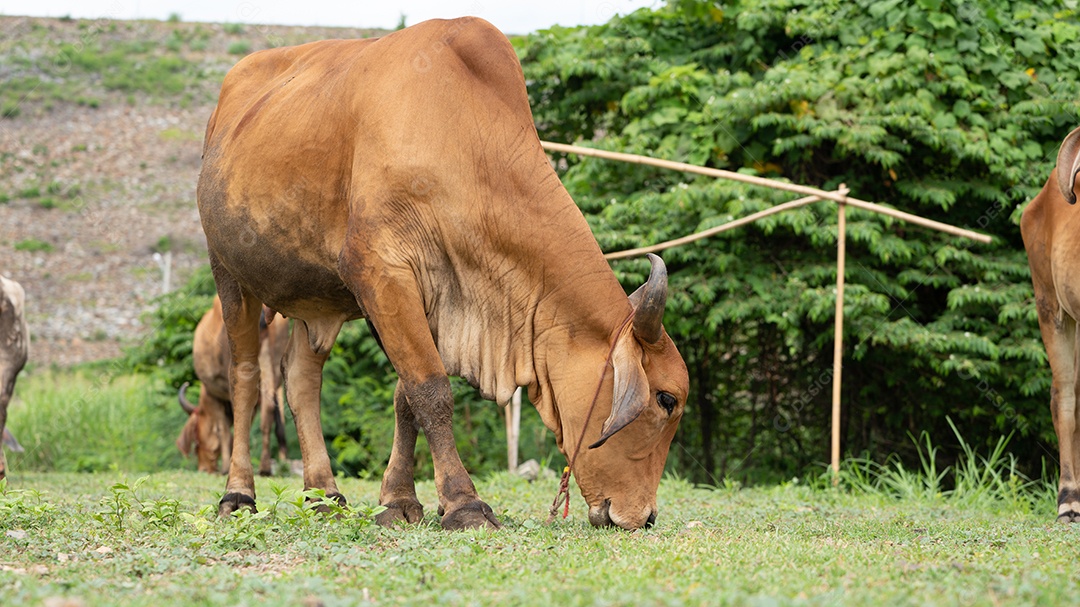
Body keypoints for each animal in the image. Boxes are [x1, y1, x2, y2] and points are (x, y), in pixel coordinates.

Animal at [176, 295, 290, 476]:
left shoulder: (212, 395)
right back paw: (265, 467)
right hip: (271, 365)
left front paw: (224, 467)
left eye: (196, 441)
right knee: (268, 413)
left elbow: (223, 429)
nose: (203, 468)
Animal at [196, 17, 689, 530]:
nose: (645, 516)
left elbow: (405, 398)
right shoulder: (381, 272)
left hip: (315, 300)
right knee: (246, 380)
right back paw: (238, 494)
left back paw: (323, 495)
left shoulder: (433, 295)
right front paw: (463, 502)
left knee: (300, 384)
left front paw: (398, 500)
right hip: (228, 274)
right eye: (666, 399)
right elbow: (431, 390)